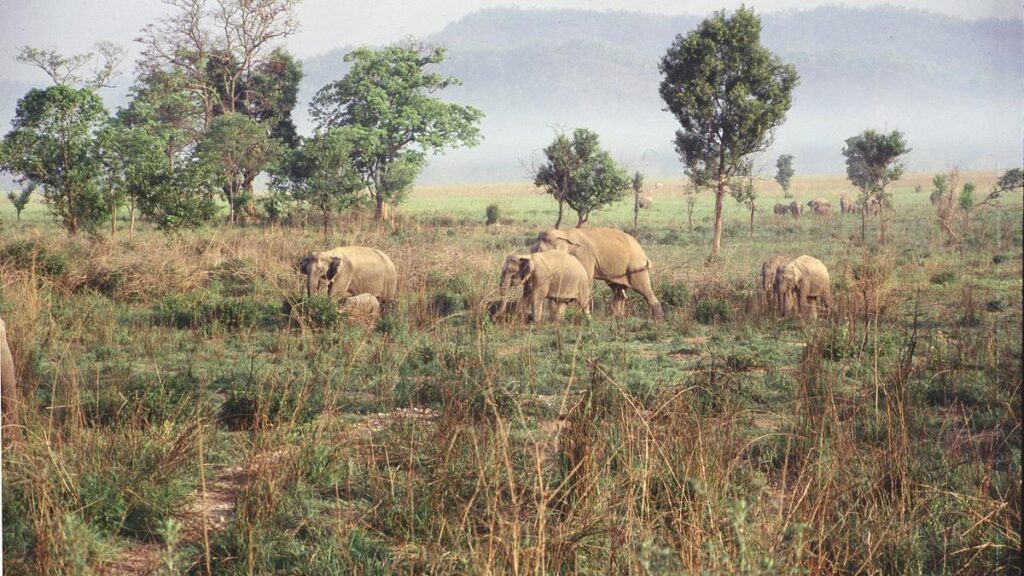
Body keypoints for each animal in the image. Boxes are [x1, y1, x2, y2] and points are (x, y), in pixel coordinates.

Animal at [528, 225, 663, 317]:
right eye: (532, 250)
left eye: (541, 251)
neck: (564, 233)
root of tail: (641, 250)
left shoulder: (584, 255)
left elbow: (585, 279)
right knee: (618, 291)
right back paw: (617, 317)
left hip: (635, 266)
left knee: (643, 288)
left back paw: (658, 319)